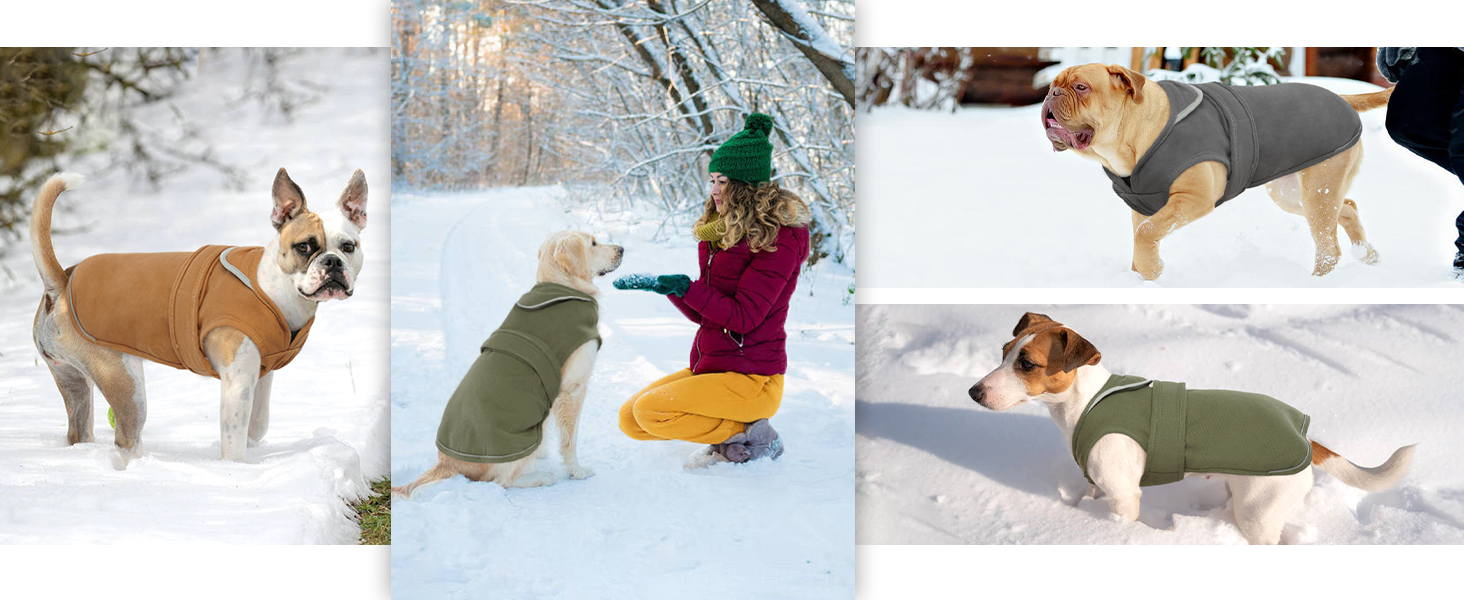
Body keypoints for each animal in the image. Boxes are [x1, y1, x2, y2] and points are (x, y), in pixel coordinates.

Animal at [30, 169, 366, 465]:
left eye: (349, 247)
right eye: (304, 246)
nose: (333, 262)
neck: (271, 288)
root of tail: (62, 284)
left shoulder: (261, 372)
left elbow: (258, 423)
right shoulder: (237, 380)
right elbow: (235, 437)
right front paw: (235, 470)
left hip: (74, 382)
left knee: (78, 430)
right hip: (124, 381)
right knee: (127, 439)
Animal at [389, 232, 623, 494]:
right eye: (593, 243)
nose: (622, 249)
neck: (560, 285)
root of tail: (446, 462)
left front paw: (542, 451)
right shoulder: (573, 388)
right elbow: (570, 440)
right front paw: (577, 472)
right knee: (502, 481)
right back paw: (543, 476)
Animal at [966, 314, 1411, 544]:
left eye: (1027, 363)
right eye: (1003, 353)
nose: (973, 392)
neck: (1087, 403)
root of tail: (1305, 438)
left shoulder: (1124, 496)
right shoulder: (1098, 480)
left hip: (1259, 513)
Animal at [1042, 64, 1393, 279]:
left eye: (1081, 87)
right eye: (1053, 86)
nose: (1052, 94)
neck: (1133, 137)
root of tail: (1342, 98)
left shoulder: (1193, 199)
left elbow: (1145, 235)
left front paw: (1152, 270)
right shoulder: (1141, 208)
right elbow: (1142, 235)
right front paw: (1140, 277)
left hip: (1318, 188)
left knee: (1328, 246)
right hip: (1292, 193)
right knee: (1347, 207)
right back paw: (1367, 254)